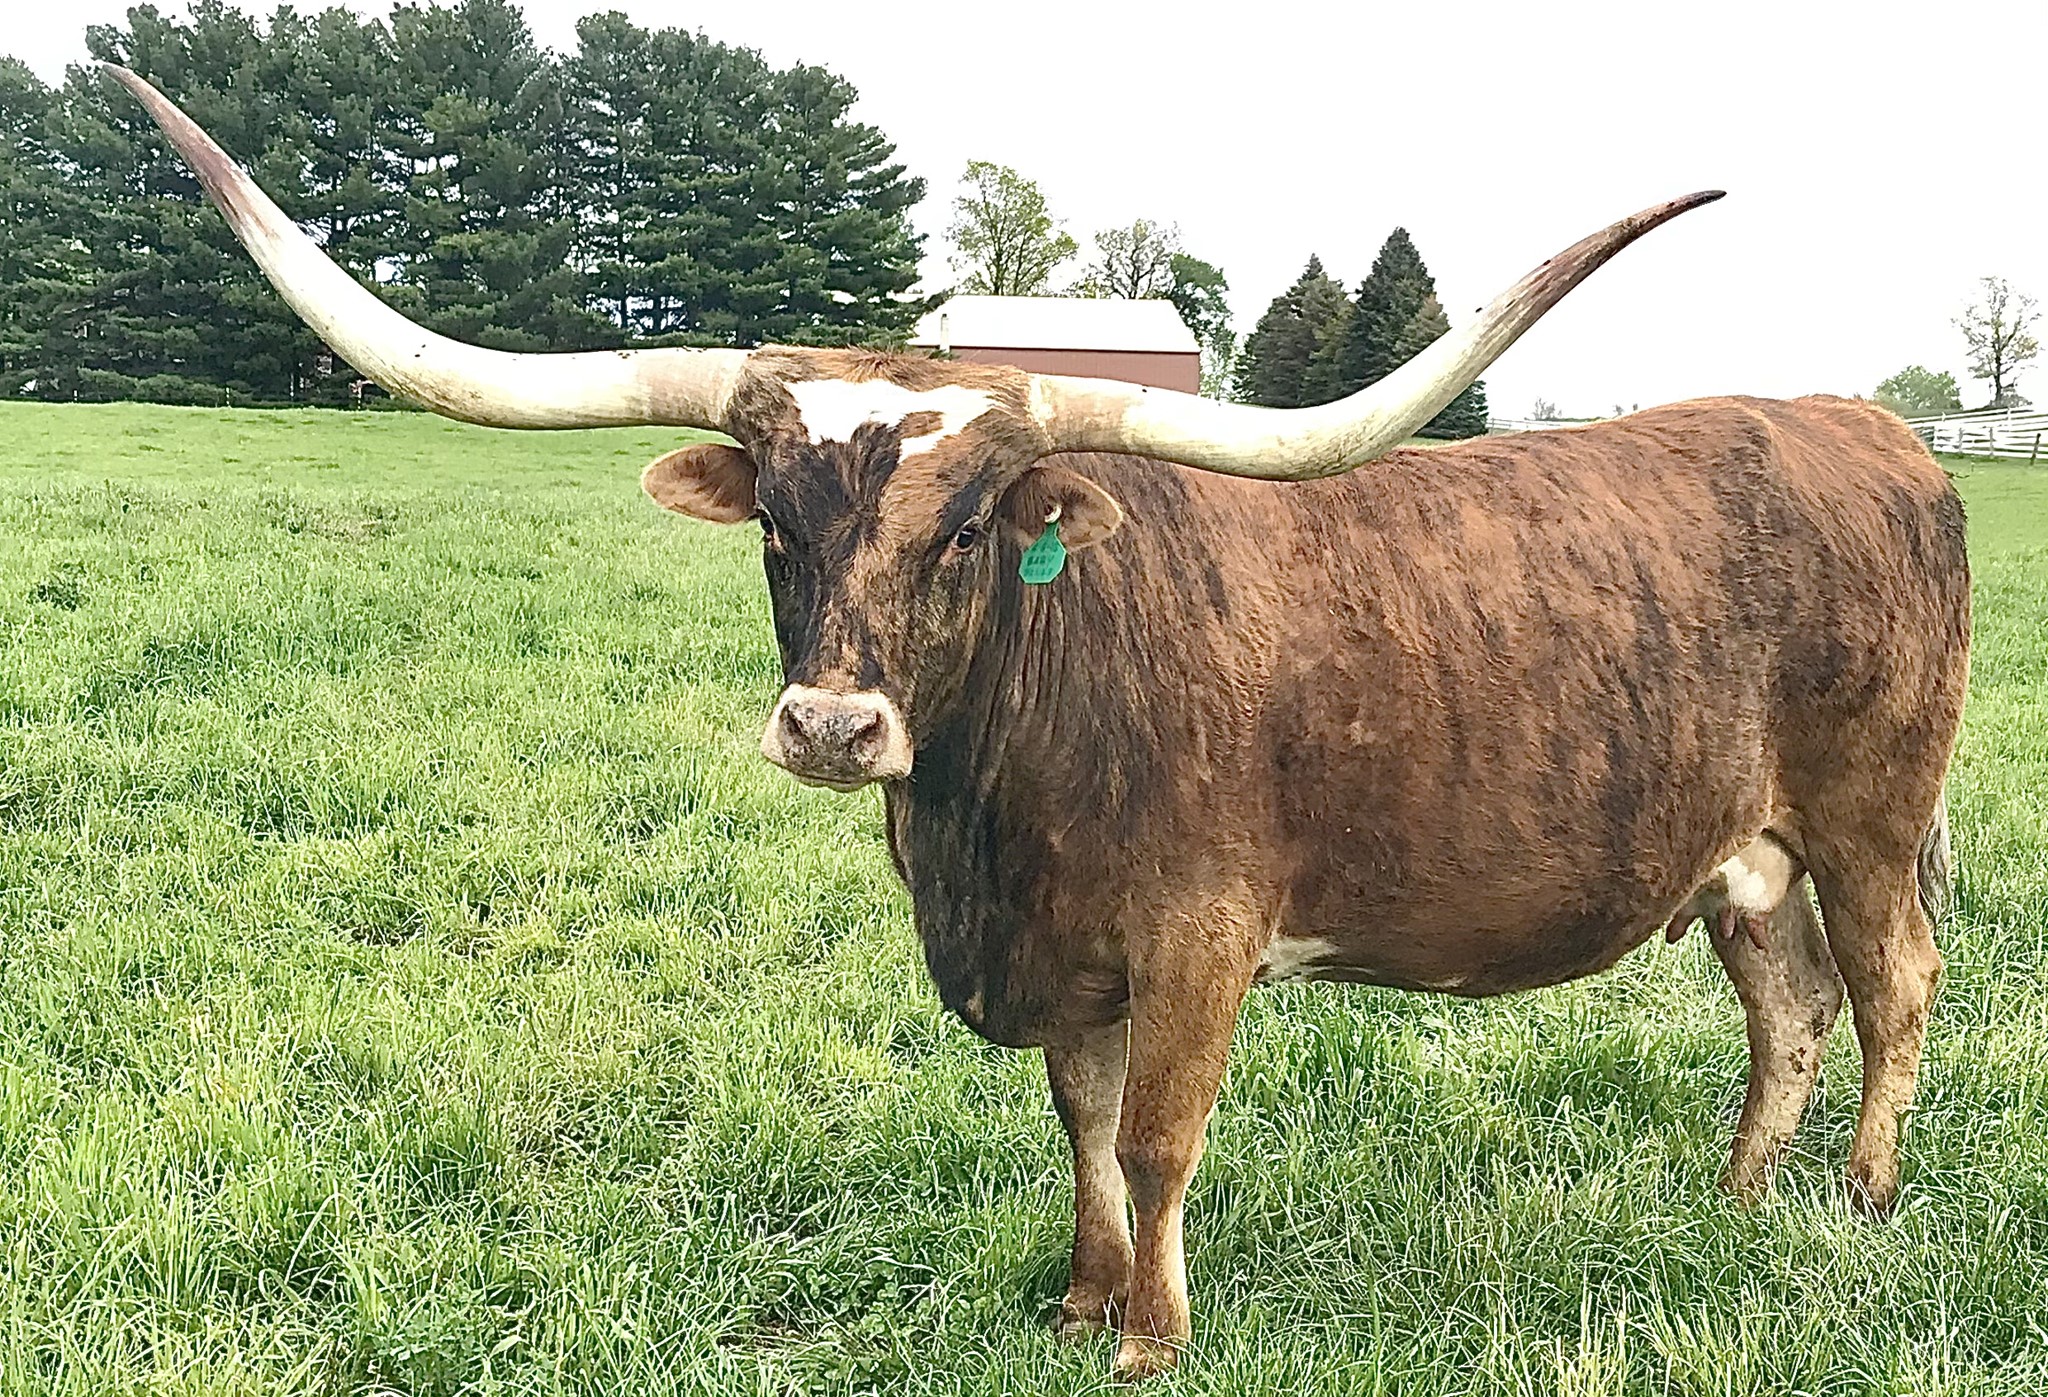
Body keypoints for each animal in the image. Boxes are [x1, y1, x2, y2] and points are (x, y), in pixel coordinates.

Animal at [112, 67, 1970, 1381]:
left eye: (965, 530)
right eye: (777, 521)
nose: (832, 726)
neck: (987, 829)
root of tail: (1861, 428)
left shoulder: (1200, 934)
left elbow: (1155, 1136)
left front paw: (1153, 1335)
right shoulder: (1066, 957)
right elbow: (1079, 1130)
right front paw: (1082, 1305)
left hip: (1870, 817)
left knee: (1892, 986)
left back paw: (1863, 1200)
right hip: (1742, 854)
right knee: (1789, 1005)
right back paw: (1737, 1195)